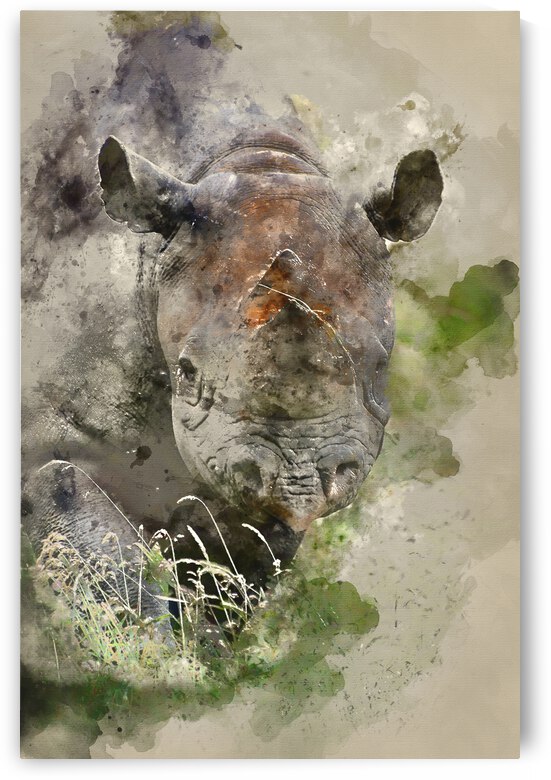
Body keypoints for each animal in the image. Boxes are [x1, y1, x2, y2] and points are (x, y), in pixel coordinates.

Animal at [22, 128, 442, 626]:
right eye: (187, 372)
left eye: (379, 371)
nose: (297, 480)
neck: (258, 160)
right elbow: (106, 563)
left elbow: (232, 577)